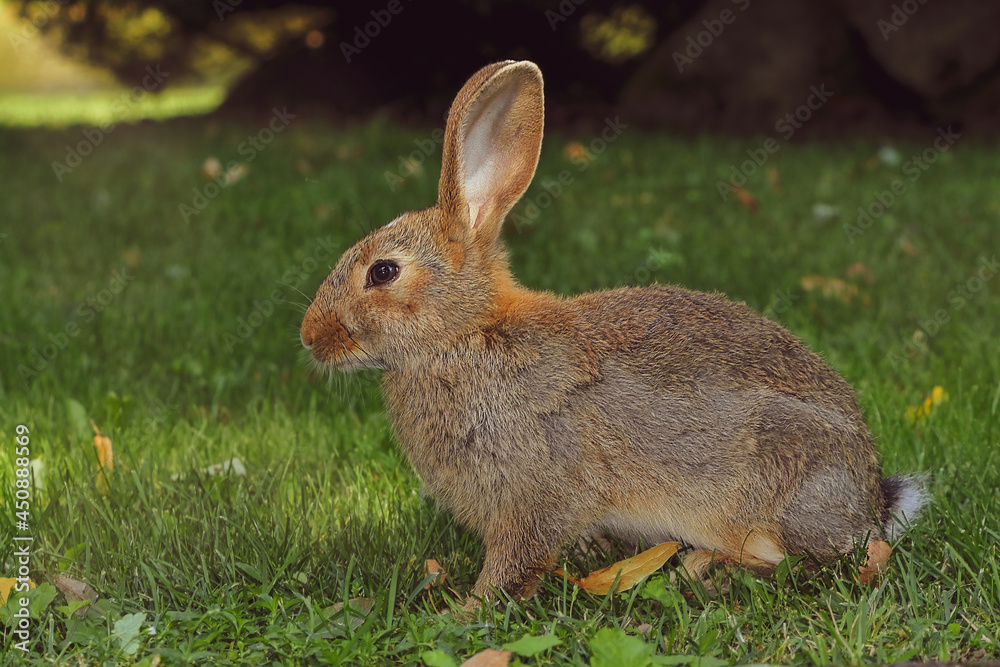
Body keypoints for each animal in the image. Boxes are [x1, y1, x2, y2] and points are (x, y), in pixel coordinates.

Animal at [300, 60, 927, 602]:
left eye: (383, 272)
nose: (310, 337)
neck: (466, 335)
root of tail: (871, 501)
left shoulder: (534, 491)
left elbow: (515, 560)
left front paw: (467, 609)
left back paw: (707, 568)